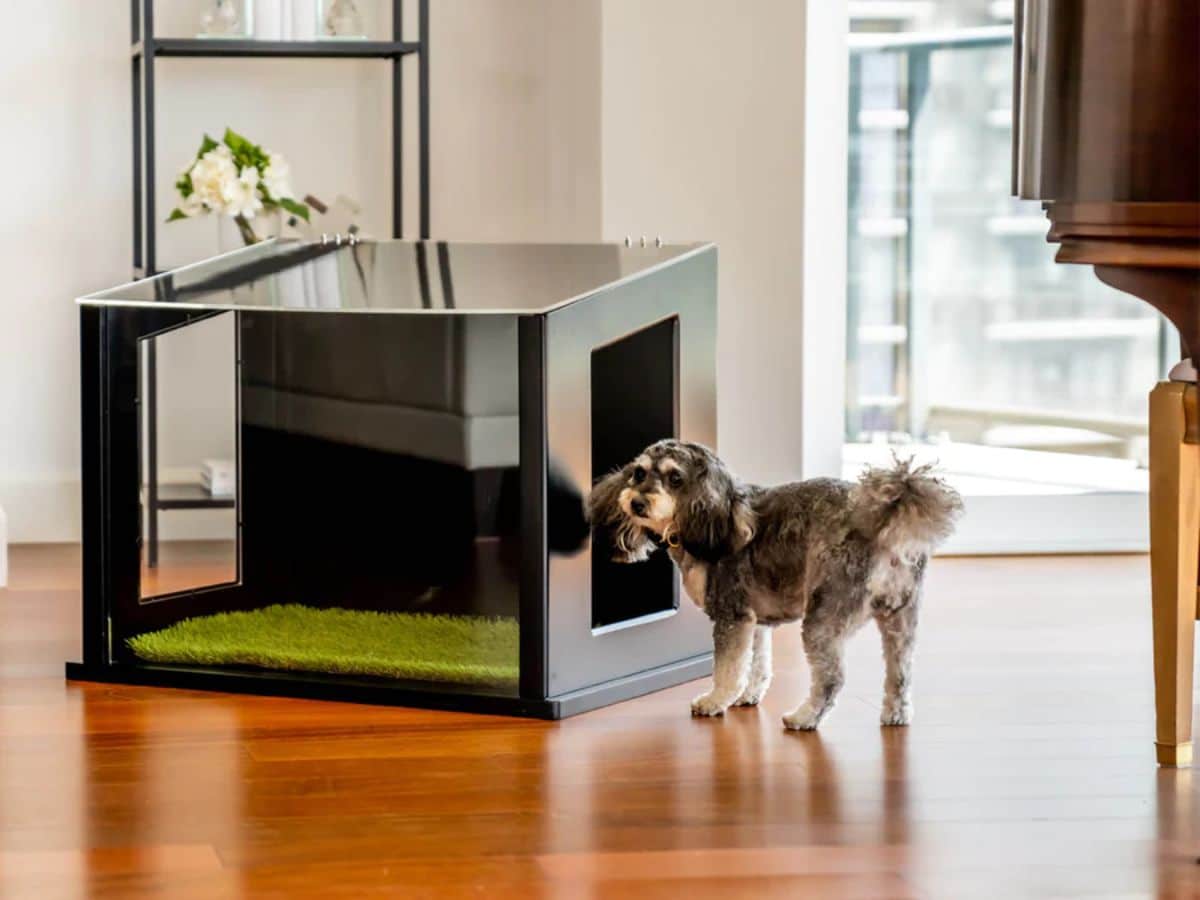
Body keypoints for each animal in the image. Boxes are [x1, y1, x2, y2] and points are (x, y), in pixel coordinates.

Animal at [585, 444, 960, 734]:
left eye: (675, 478)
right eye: (638, 473)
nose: (636, 502)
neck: (714, 516)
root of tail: (883, 526)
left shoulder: (731, 615)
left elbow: (727, 670)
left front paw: (714, 701)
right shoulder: (755, 621)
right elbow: (756, 666)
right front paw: (747, 697)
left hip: (822, 620)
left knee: (832, 680)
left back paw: (804, 718)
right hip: (901, 622)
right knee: (900, 675)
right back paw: (896, 715)